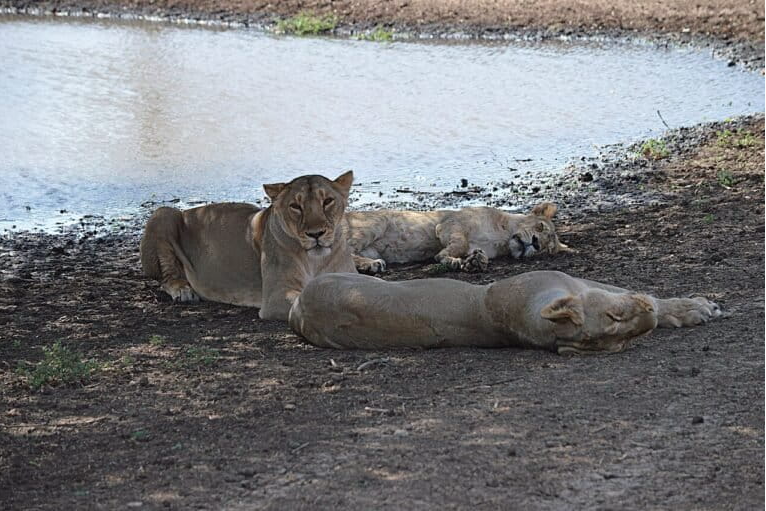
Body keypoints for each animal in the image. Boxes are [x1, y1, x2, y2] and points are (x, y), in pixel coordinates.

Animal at [140, 171, 357, 320]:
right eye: (296, 206)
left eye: (328, 201)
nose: (316, 234)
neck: (316, 260)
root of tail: (188, 211)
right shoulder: (275, 297)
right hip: (164, 213)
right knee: (166, 278)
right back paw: (182, 289)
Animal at [343, 203, 571, 274]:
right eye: (540, 227)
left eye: (547, 248)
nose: (535, 243)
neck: (502, 239)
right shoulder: (451, 223)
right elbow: (459, 243)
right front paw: (446, 258)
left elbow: (471, 252)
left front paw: (474, 262)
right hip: (375, 223)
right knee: (346, 250)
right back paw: (373, 265)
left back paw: (370, 265)